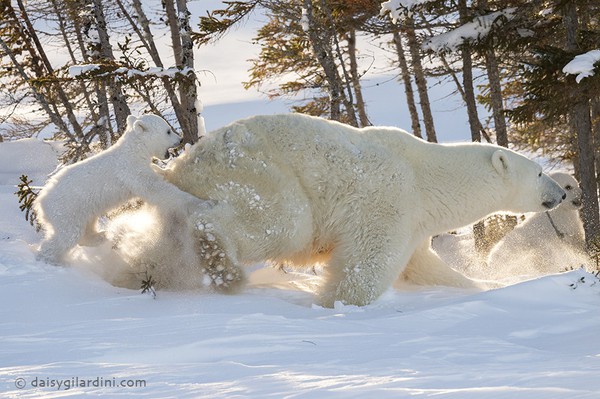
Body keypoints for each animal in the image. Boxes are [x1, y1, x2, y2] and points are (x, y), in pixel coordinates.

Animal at [35, 114, 202, 266]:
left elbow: (155, 174)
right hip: (67, 210)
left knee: (87, 226)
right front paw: (197, 202)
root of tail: (40, 202)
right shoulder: (130, 170)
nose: (180, 139)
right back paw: (49, 260)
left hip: (83, 208)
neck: (133, 150)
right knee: (67, 236)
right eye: (168, 131)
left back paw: (100, 236)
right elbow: (154, 188)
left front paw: (164, 169)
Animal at [127, 114, 568, 308]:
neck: (427, 174)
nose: (562, 193)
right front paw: (336, 301)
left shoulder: (416, 220)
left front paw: (482, 284)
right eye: (539, 171)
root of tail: (184, 164)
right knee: (278, 221)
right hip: (259, 173)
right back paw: (224, 267)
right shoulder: (388, 199)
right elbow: (367, 261)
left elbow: (424, 266)